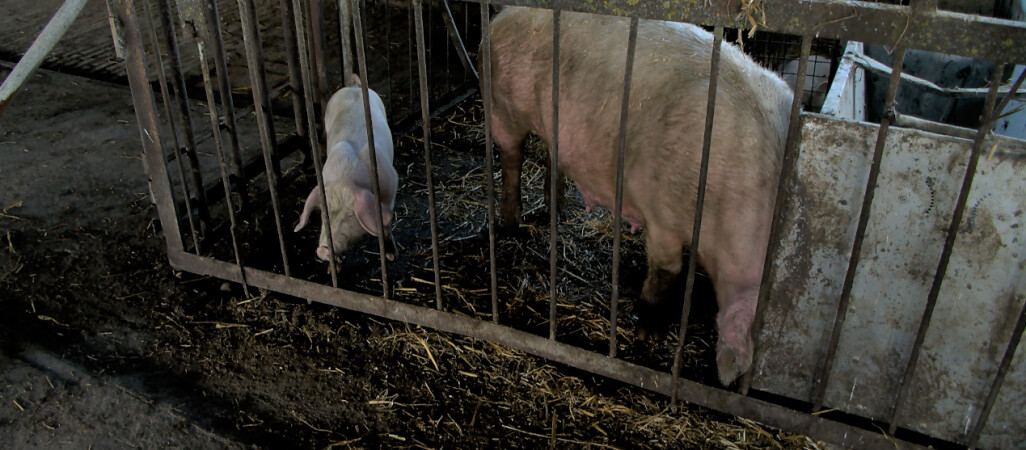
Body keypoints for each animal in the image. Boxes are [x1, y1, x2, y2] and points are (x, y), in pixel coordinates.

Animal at [295, 75, 398, 262]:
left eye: (350, 215)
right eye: (324, 214)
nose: (323, 249)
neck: (345, 178)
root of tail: (354, 87)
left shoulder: (391, 184)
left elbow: (385, 224)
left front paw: (391, 256)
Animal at [486, 8, 792, 385]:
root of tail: (503, 16)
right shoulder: (661, 210)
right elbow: (667, 270)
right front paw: (650, 335)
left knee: (551, 154)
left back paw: (557, 212)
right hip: (503, 106)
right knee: (512, 158)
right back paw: (511, 225)